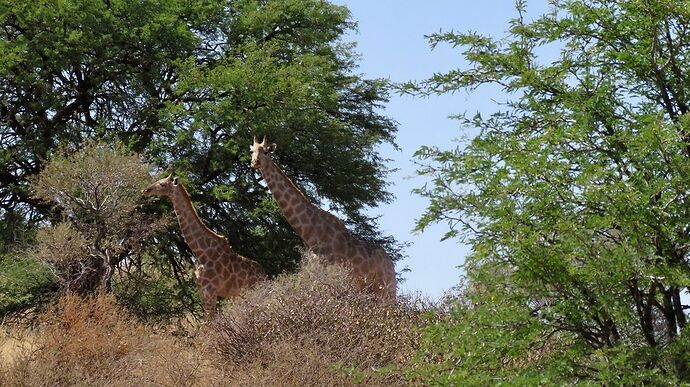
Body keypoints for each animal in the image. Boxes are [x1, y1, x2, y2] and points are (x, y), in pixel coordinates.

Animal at [143, 174, 266, 318]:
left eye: (163, 184)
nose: (146, 190)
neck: (200, 252)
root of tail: (265, 274)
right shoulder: (202, 292)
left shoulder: (210, 292)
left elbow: (209, 322)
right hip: (240, 294)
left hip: (254, 291)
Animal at [250, 136, 396, 300]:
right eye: (252, 151)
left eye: (266, 151)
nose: (254, 162)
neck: (309, 234)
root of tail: (391, 265)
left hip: (387, 291)